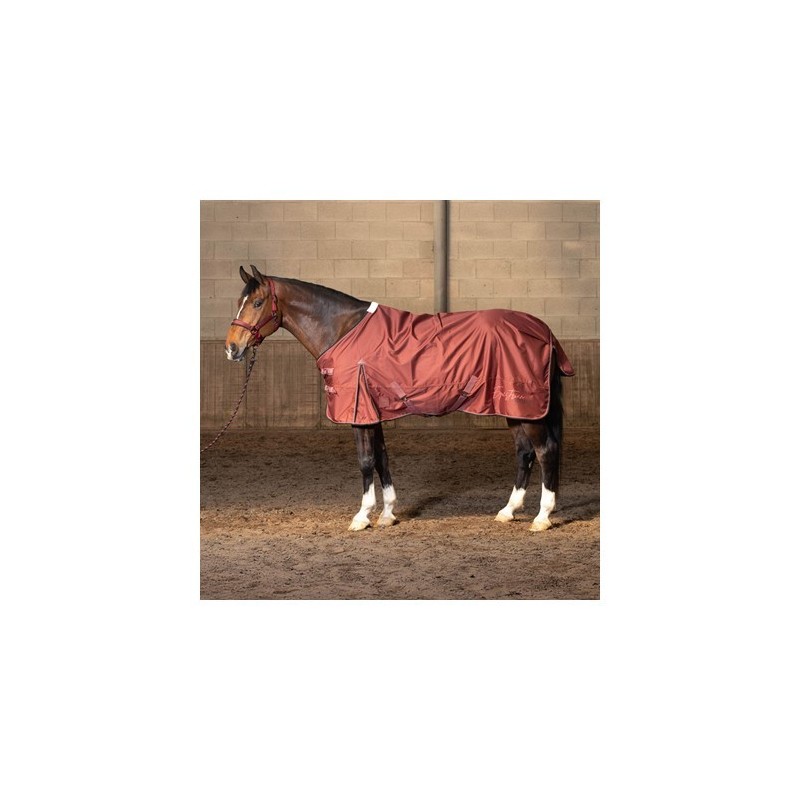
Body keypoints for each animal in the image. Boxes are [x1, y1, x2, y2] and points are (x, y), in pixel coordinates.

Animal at [224, 264, 573, 533]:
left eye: (257, 303)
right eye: (239, 302)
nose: (231, 348)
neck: (342, 329)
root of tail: (543, 330)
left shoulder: (359, 412)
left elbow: (366, 461)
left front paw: (362, 516)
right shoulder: (371, 412)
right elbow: (382, 457)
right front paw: (388, 513)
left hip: (528, 408)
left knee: (545, 451)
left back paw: (542, 517)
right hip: (516, 408)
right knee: (524, 453)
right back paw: (508, 511)